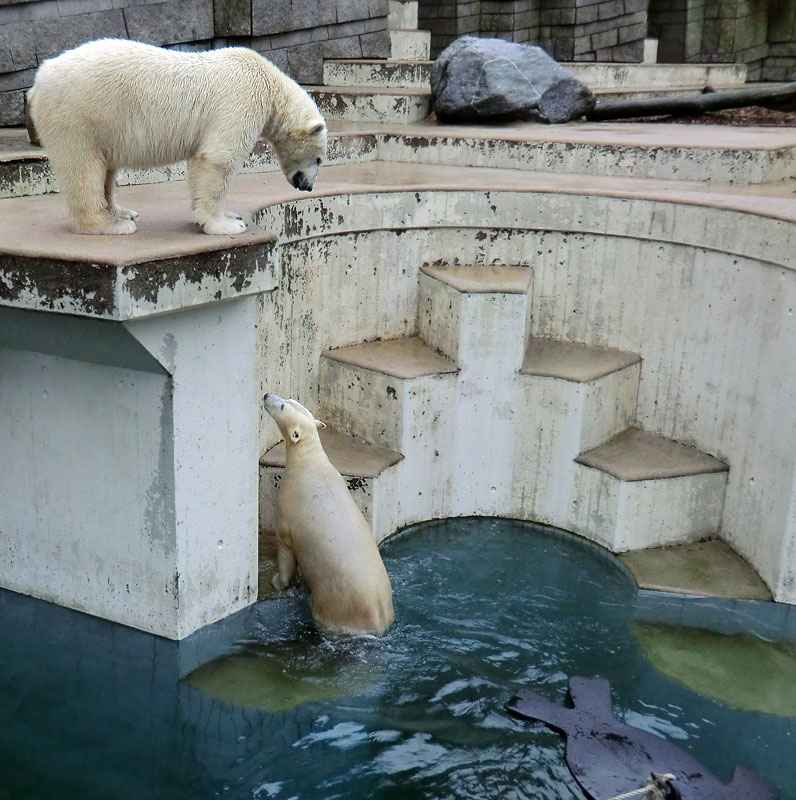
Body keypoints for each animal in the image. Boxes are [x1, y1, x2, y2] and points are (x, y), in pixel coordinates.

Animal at [28, 38, 326, 234]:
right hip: (79, 114)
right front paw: (227, 224)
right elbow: (220, 158)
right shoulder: (241, 99)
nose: (308, 186)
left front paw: (223, 214)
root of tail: (38, 81)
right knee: (83, 167)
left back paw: (123, 212)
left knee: (106, 170)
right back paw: (110, 224)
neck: (269, 84)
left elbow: (200, 163)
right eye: (320, 159)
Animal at [264, 394, 394, 636]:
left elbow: (285, 550)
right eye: (289, 398)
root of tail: (378, 620)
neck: (309, 460)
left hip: (336, 604)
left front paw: (277, 581)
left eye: (283, 406)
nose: (267, 396)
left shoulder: (288, 511)